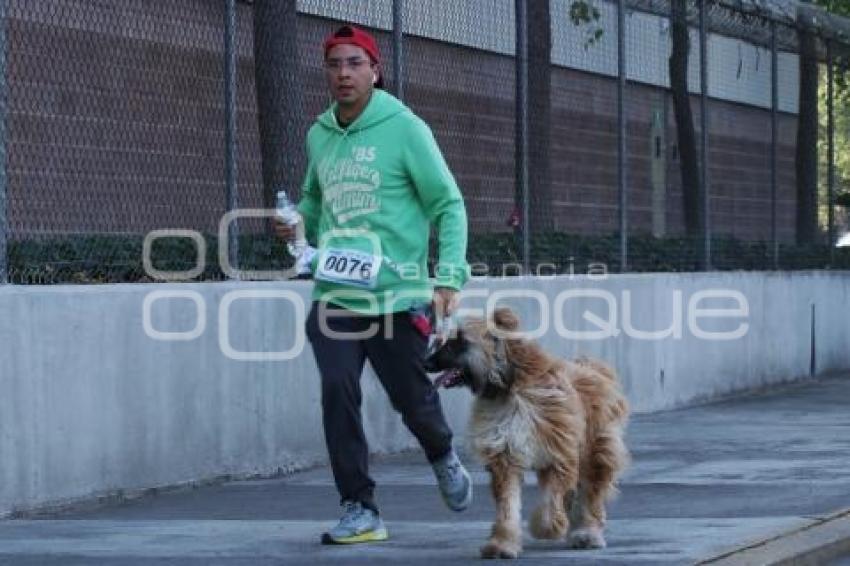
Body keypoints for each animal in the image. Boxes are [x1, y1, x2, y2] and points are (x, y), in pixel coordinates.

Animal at [424, 308, 628, 560]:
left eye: (459, 341)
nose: (426, 362)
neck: (508, 387)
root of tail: (593, 368)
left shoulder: (558, 452)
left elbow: (553, 498)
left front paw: (545, 527)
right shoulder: (504, 453)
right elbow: (508, 503)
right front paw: (502, 543)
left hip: (595, 449)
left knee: (590, 492)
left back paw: (586, 532)